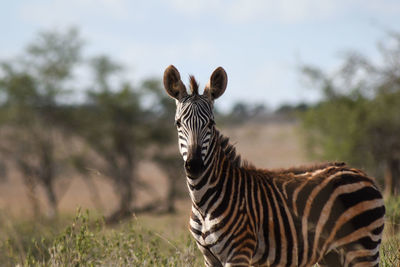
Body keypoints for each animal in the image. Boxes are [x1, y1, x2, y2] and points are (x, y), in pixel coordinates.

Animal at [162, 65, 384, 267]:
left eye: (211, 124)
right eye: (178, 124)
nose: (194, 166)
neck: (203, 202)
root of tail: (362, 173)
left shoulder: (239, 252)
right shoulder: (209, 258)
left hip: (362, 247)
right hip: (332, 255)